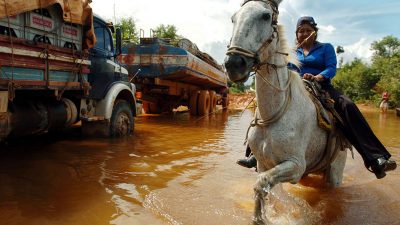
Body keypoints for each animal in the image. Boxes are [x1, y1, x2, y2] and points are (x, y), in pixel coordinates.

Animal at [223, 0, 348, 223]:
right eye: (233, 18)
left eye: (265, 16)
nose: (234, 64)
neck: (275, 114)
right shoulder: (264, 164)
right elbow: (269, 192)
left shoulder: (295, 166)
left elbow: (261, 185)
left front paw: (261, 219)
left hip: (334, 172)